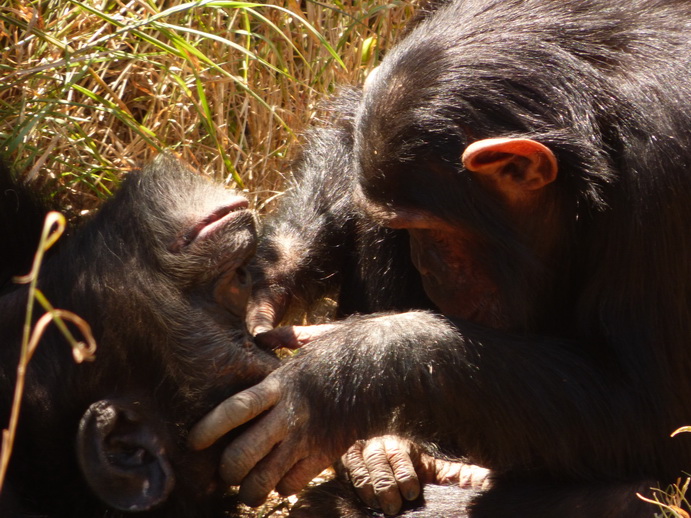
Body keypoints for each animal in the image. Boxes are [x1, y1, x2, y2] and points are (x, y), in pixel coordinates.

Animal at [188, 0, 691, 516]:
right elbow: (355, 117)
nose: (425, 263)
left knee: (627, 494)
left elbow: (654, 410)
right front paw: (271, 270)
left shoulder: (666, 183)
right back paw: (385, 452)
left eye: (430, 229)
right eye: (408, 228)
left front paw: (338, 374)